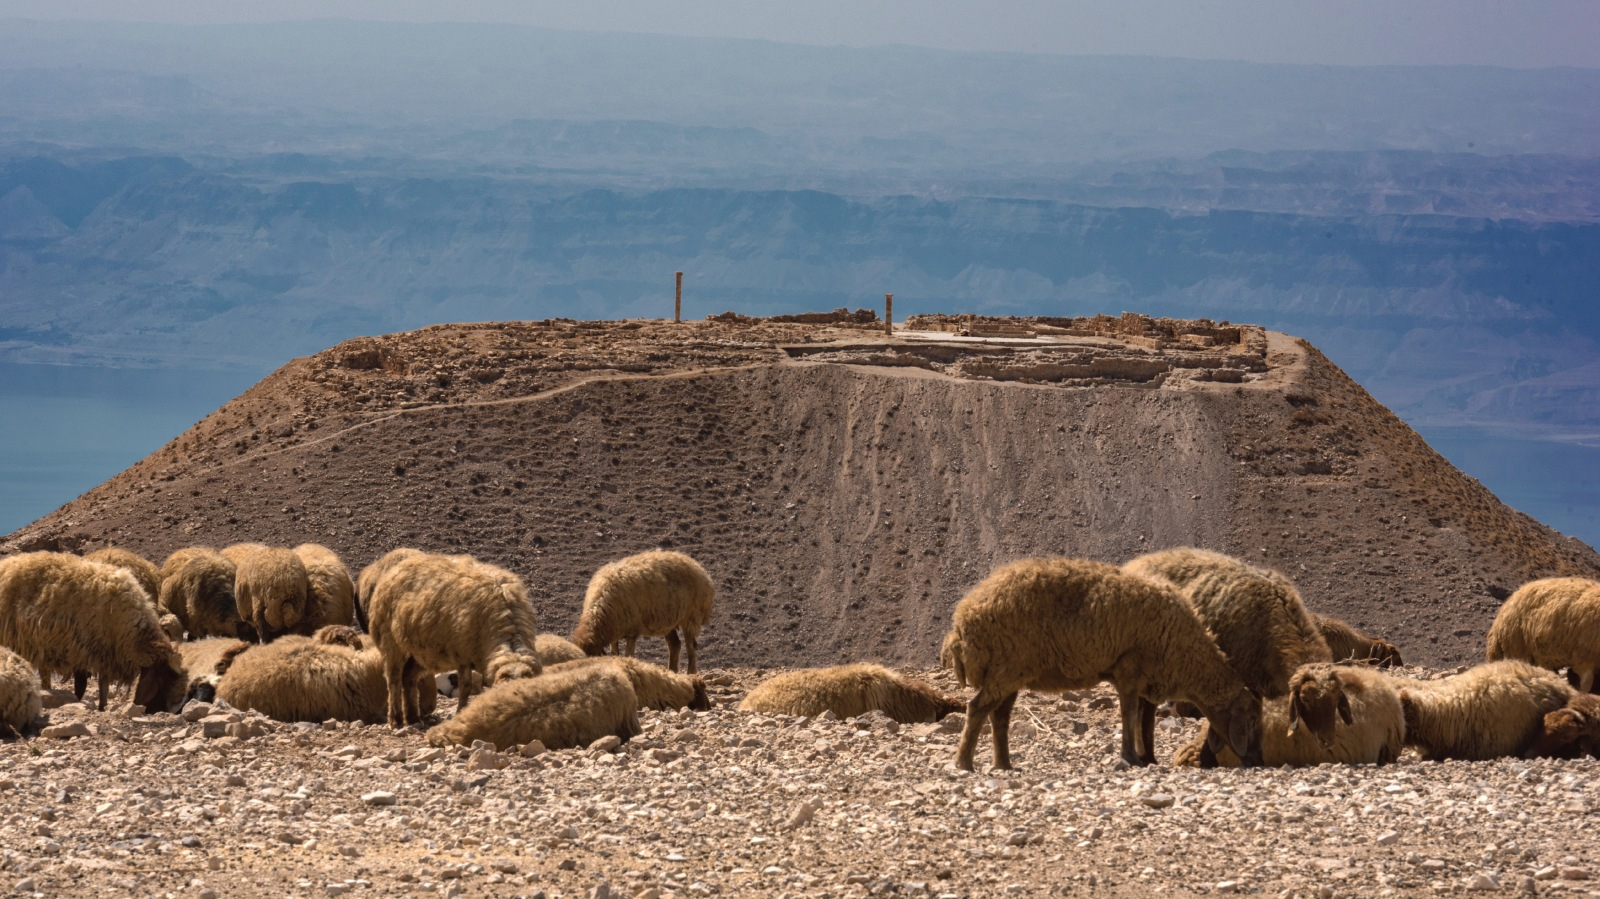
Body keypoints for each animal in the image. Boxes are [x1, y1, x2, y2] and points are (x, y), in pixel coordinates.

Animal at [0, 552, 188, 713]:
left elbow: (102, 685)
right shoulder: (82, 651)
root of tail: (7, 564)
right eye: (165, 679)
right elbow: (82, 686)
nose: (167, 710)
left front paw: (102, 707)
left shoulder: (105, 653)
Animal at [367, 552, 542, 726]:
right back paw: (396, 720)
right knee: (393, 681)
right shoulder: (462, 656)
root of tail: (395, 569)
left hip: (422, 652)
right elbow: (465, 688)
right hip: (390, 643)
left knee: (408, 677)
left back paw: (413, 719)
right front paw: (460, 712)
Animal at [572, 550, 714, 674]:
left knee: (691, 647)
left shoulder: (632, 631)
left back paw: (691, 673)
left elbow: (628, 655)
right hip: (668, 622)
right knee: (675, 645)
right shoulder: (615, 632)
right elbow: (615, 654)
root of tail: (698, 567)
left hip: (691, 617)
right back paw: (672, 671)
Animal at [941, 557, 1262, 772]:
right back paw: (964, 763)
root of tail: (962, 623)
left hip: (1011, 673)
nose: (1257, 761)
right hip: (1004, 670)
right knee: (977, 708)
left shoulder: (1147, 680)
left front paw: (1147, 758)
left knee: (999, 716)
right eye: (1251, 719)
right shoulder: (1129, 671)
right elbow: (1129, 716)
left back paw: (1003, 765)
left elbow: (1144, 721)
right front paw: (1131, 758)